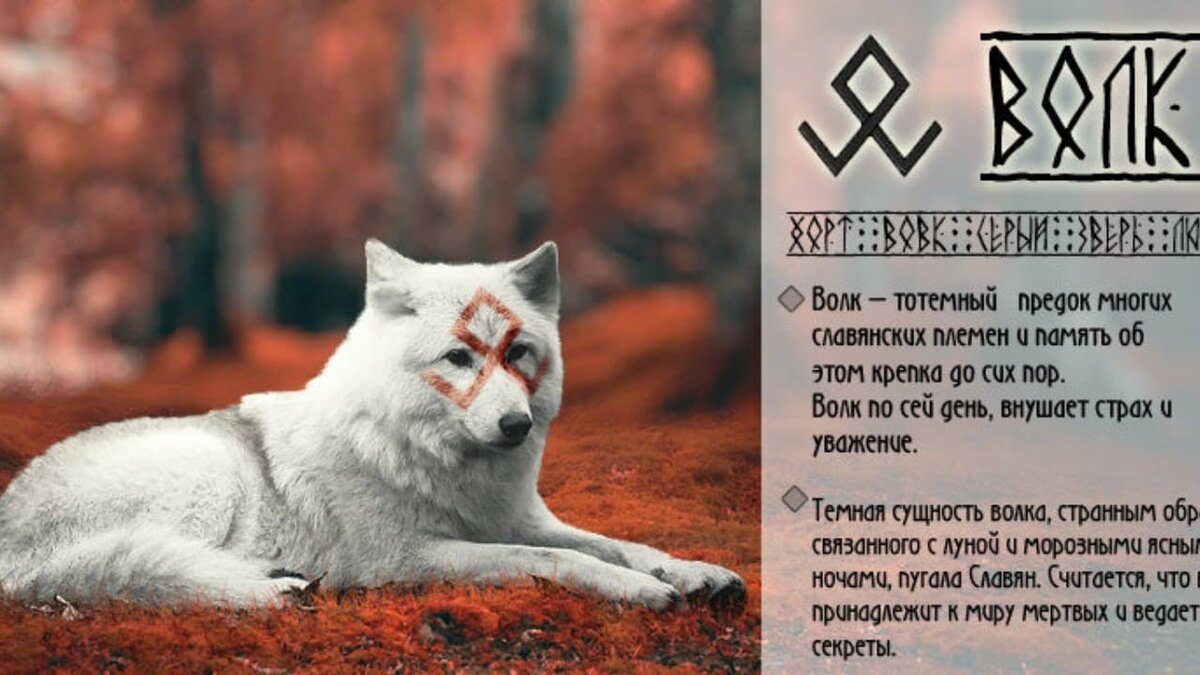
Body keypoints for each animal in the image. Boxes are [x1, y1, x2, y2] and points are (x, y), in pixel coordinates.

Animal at [0, 240, 744, 611]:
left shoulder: (520, 520)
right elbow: (556, 559)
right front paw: (644, 591)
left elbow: (616, 543)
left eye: (517, 353)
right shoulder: (408, 558)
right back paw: (273, 586)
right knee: (152, 568)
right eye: (459, 357)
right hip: (205, 478)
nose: (516, 423)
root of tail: (8, 542)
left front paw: (696, 572)